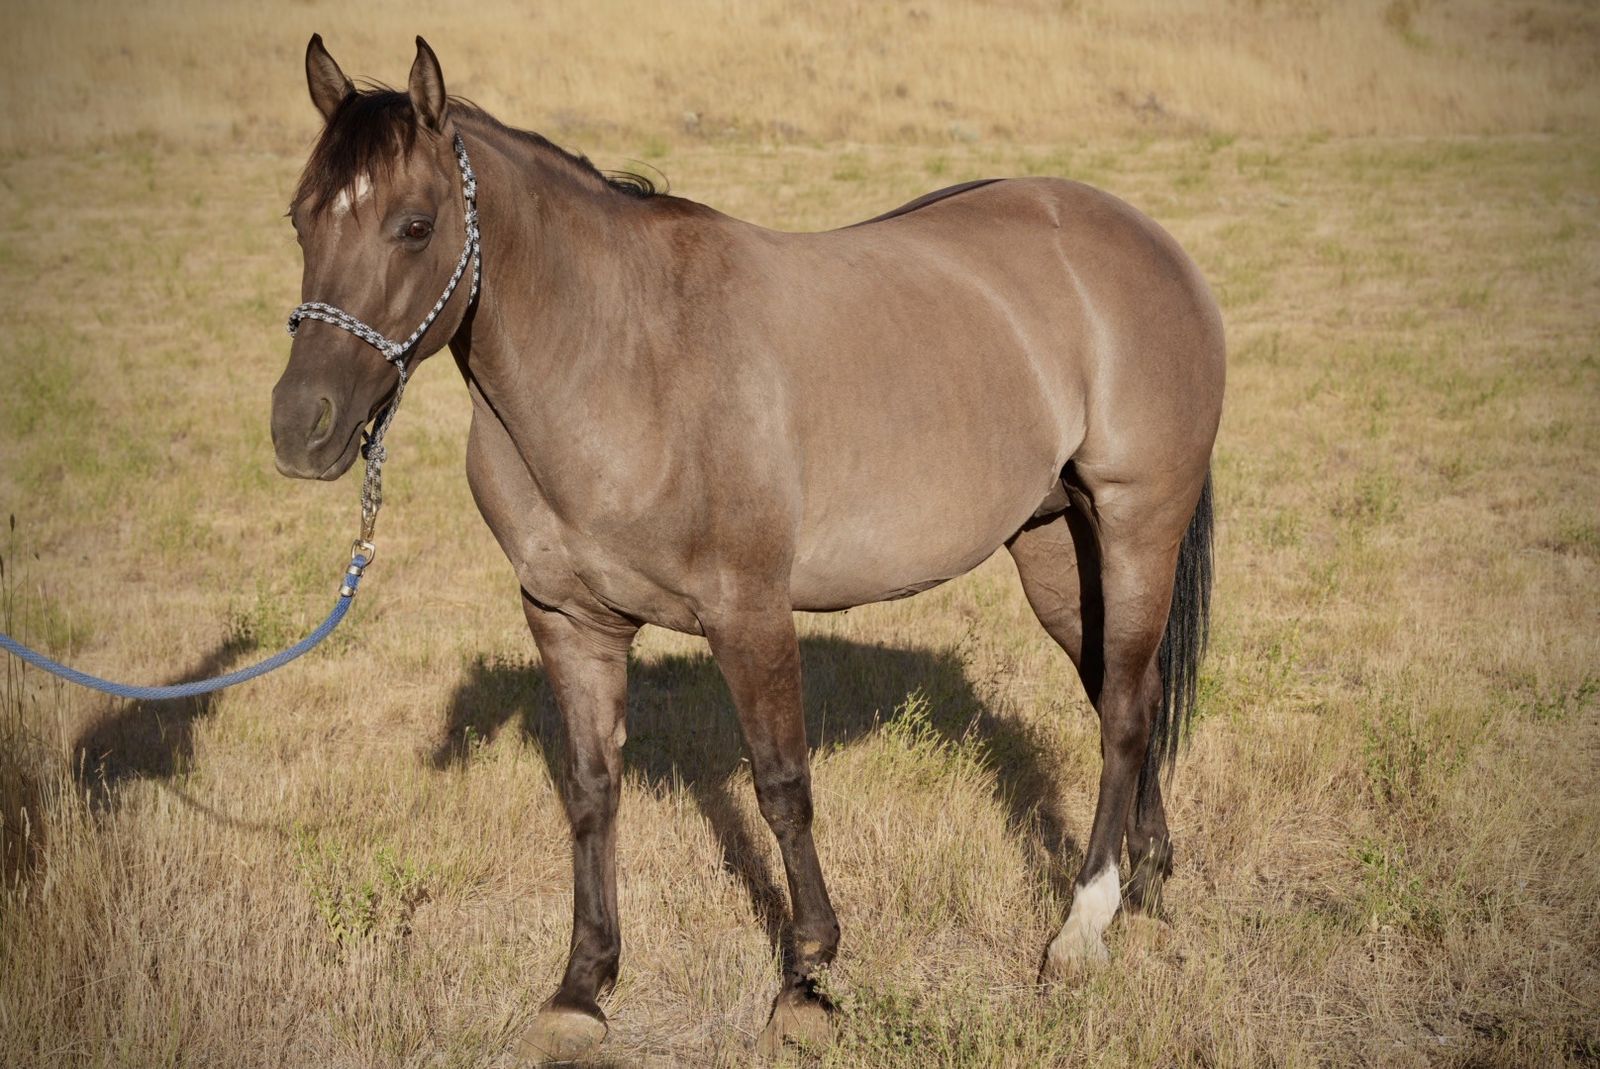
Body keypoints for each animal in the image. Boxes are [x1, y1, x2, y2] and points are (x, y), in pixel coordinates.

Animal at [270, 35, 1224, 1064]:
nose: (301, 428)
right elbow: (592, 791)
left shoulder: (750, 612)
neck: (624, 358)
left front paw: (808, 975)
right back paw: (1146, 880)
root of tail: (1148, 240)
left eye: (413, 226)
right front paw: (584, 984)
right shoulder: (569, 620)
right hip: (1053, 546)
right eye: (299, 219)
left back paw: (1081, 928)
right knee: (1128, 693)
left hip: (1135, 526)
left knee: (1123, 708)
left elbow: (781, 787)